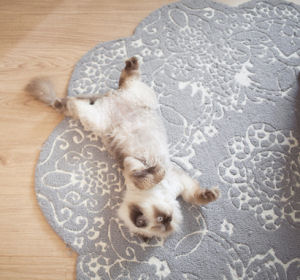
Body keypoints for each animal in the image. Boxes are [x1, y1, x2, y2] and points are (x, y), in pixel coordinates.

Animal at [25, 55, 219, 240]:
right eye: (157, 222)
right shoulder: (131, 165)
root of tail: (107, 97)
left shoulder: (181, 183)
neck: (161, 193)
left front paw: (213, 195)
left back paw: (131, 62)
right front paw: (157, 171)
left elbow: (196, 196)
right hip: (95, 118)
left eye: (164, 221)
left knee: (124, 81)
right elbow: (149, 177)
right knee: (75, 103)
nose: (167, 220)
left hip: (141, 97)